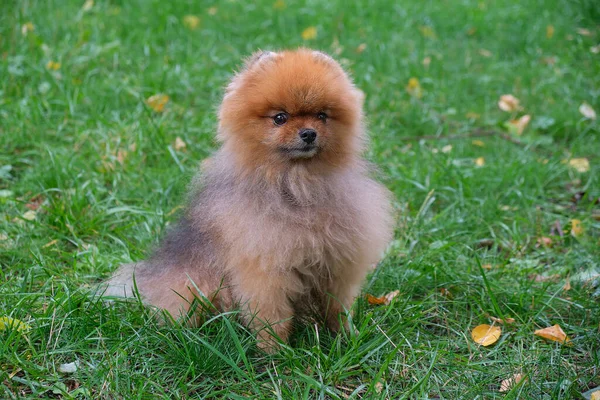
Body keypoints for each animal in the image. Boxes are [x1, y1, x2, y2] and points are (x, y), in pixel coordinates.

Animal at [105, 49, 396, 350]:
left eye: (321, 115)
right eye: (280, 118)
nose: (308, 133)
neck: (296, 187)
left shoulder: (336, 265)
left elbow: (337, 307)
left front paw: (346, 338)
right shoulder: (264, 271)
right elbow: (272, 317)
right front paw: (275, 352)